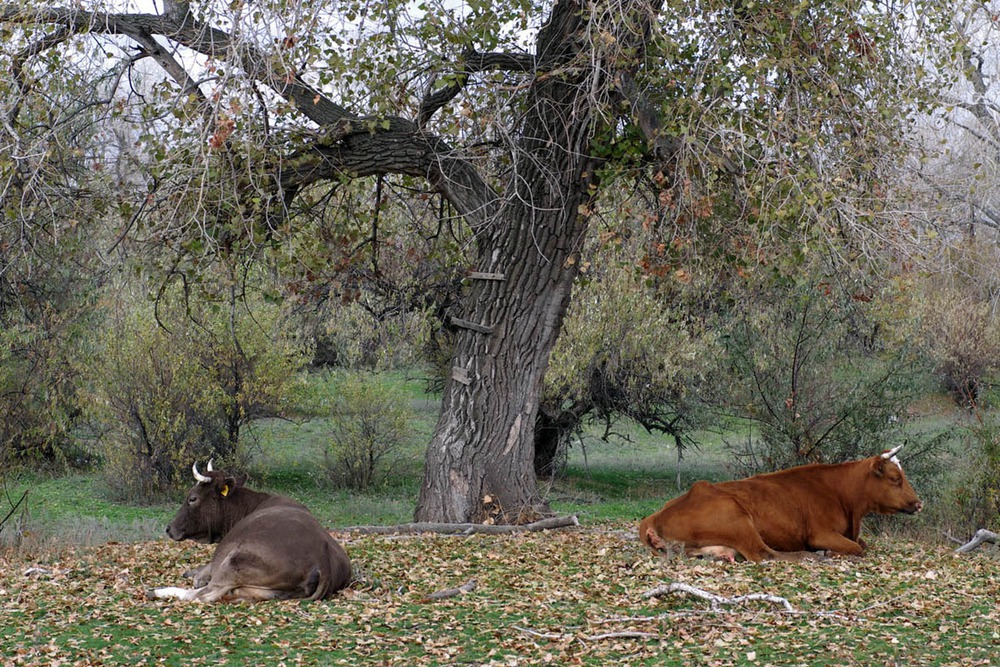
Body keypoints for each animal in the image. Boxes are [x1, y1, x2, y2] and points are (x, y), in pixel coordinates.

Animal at [148, 462, 352, 604]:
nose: (169, 528)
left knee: (202, 595)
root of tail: (322, 557)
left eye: (192, 498)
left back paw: (157, 591)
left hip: (235, 561)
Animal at [640, 446, 920, 560]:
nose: (918, 504)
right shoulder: (820, 533)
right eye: (895, 478)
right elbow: (857, 548)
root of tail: (652, 517)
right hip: (738, 518)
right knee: (764, 554)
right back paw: (811, 556)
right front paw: (828, 552)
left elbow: (861, 543)